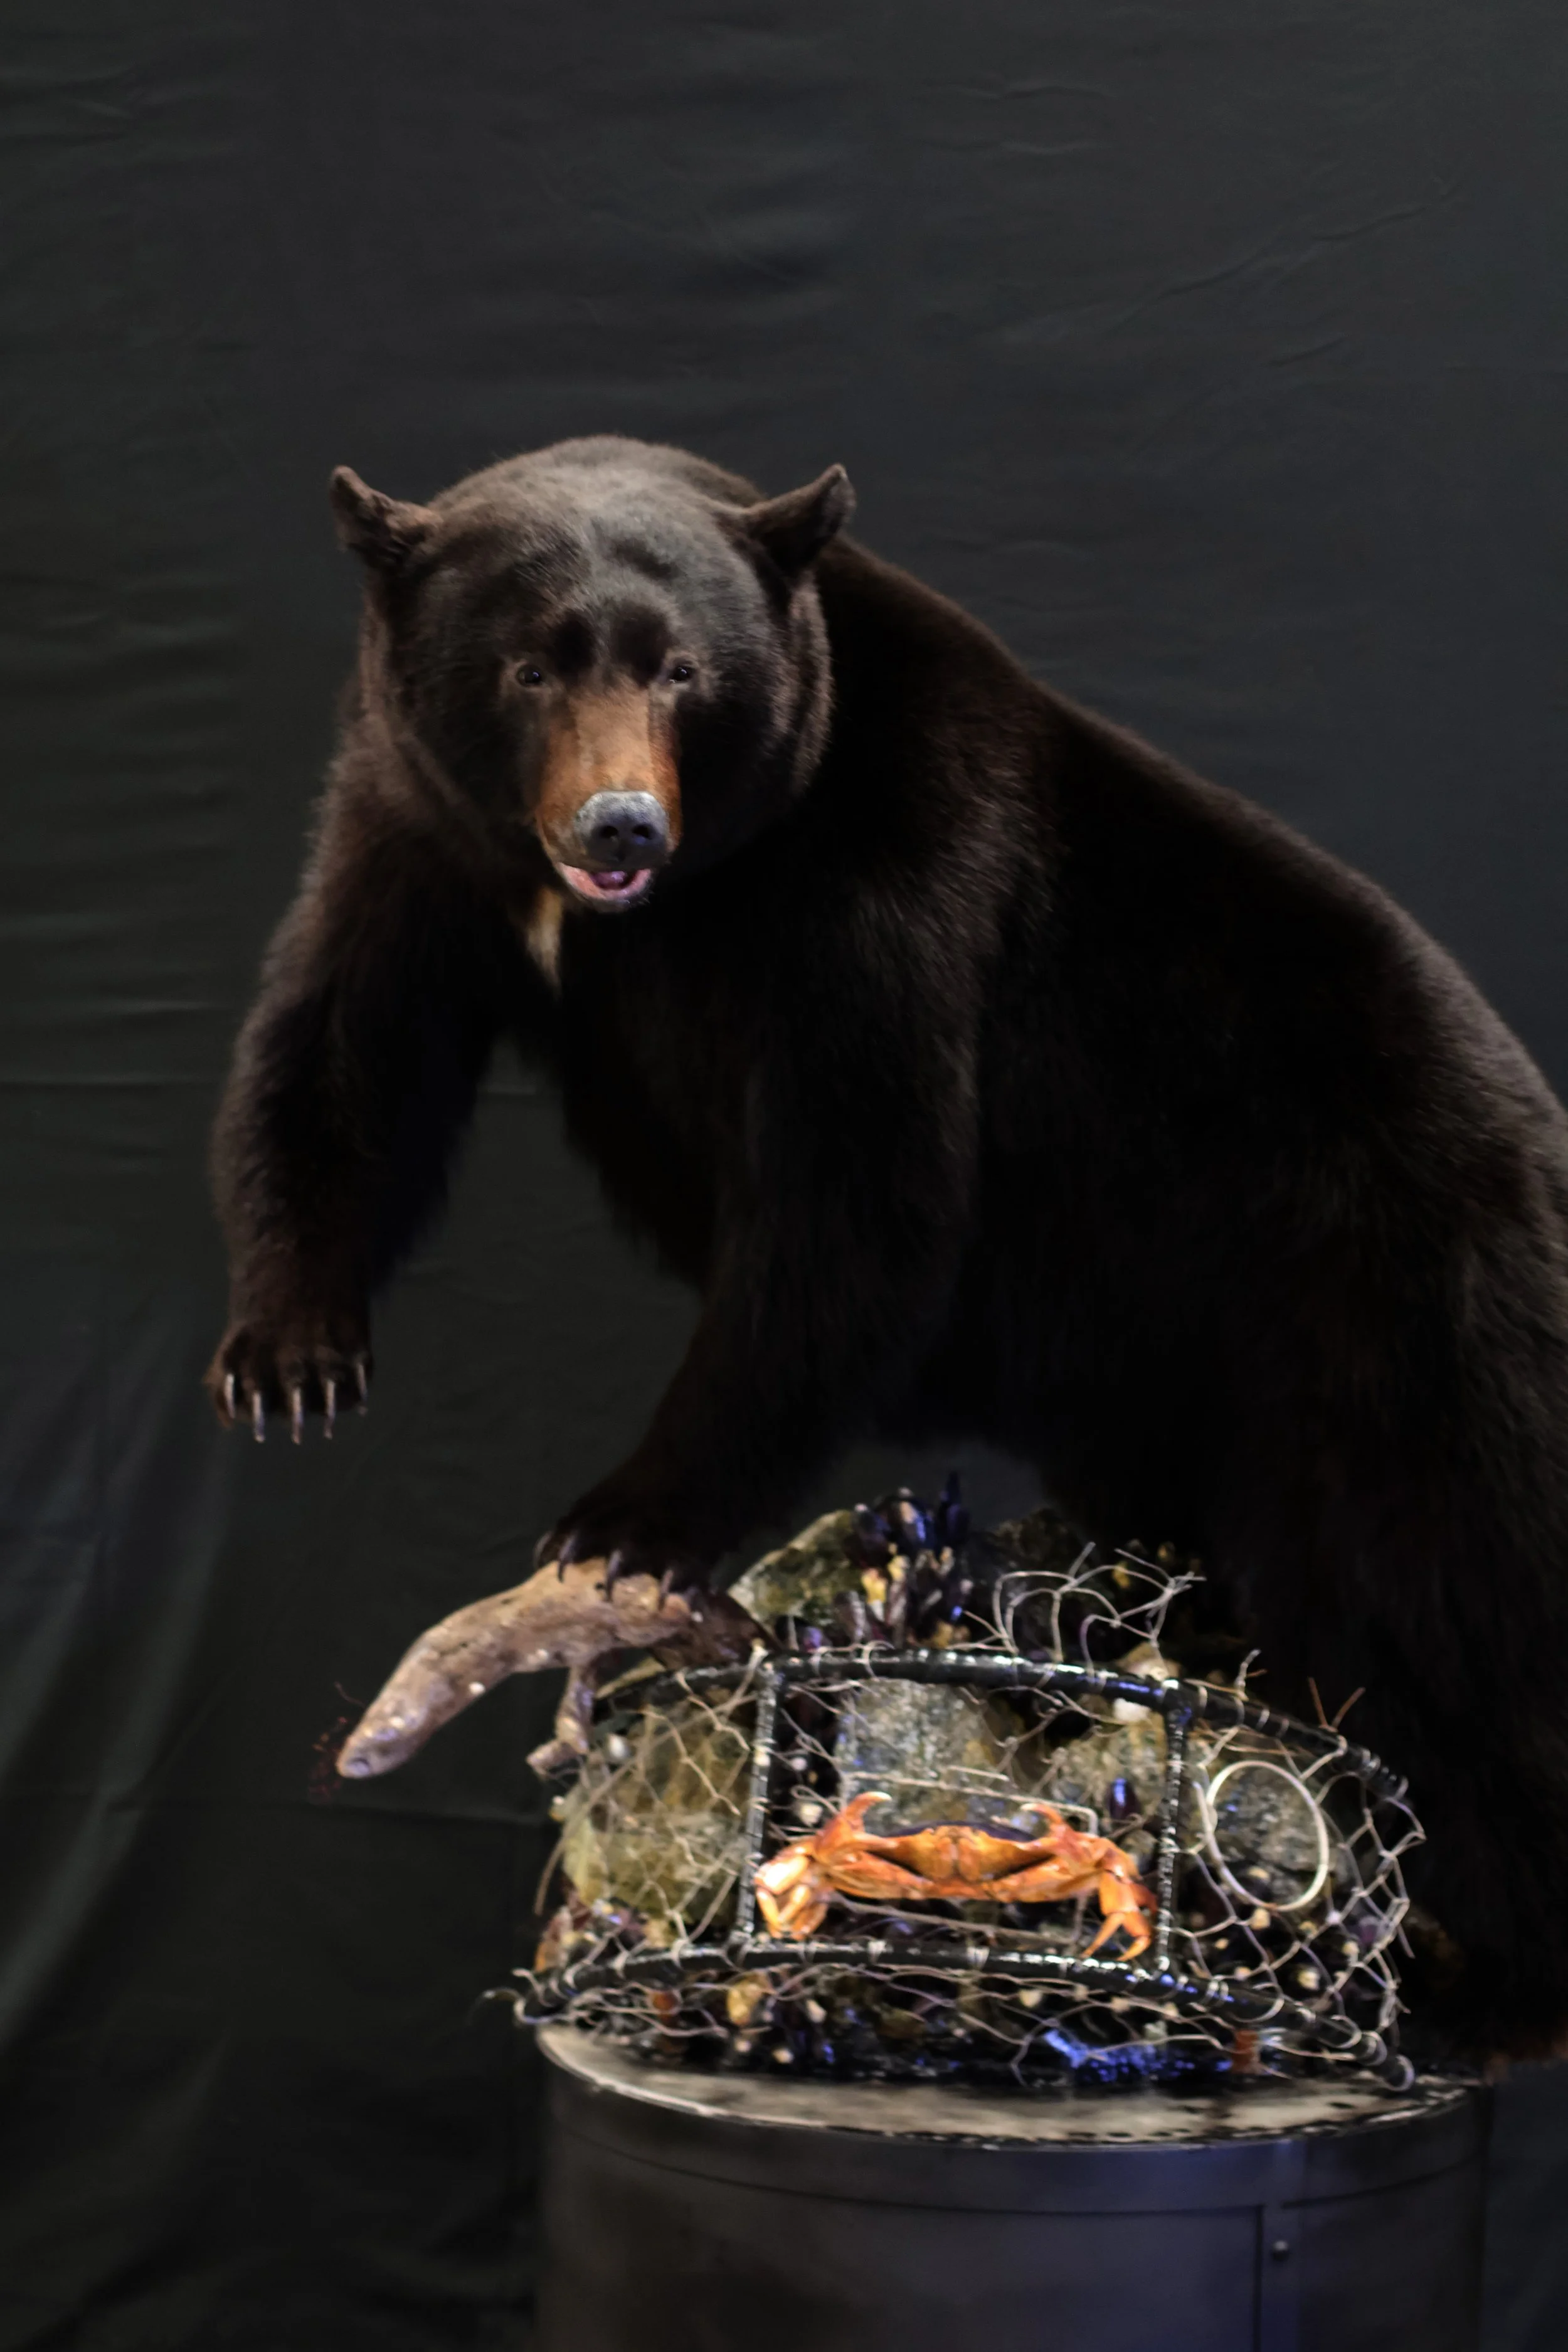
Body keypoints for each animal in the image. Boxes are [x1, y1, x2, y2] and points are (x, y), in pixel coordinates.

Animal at [208, 433, 1568, 2055]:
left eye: (682, 670)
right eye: (528, 666)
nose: (620, 826)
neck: (665, 895)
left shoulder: (888, 890)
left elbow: (854, 1205)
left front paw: (625, 1518)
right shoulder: (410, 827)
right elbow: (344, 1044)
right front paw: (288, 1356)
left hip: (1391, 1306)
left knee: (1440, 1605)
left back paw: (1482, 1981)